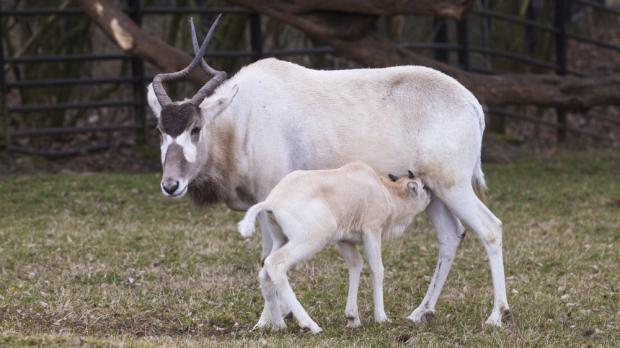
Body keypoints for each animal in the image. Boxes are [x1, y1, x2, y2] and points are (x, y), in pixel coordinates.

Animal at [237, 162, 432, 334]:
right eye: (423, 186)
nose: (431, 195)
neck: (384, 189)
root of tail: (272, 202)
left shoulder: (344, 240)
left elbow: (356, 264)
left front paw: (353, 319)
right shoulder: (372, 230)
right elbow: (377, 269)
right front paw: (382, 318)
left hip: (281, 240)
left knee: (264, 273)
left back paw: (279, 326)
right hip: (310, 241)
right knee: (275, 264)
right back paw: (311, 325)